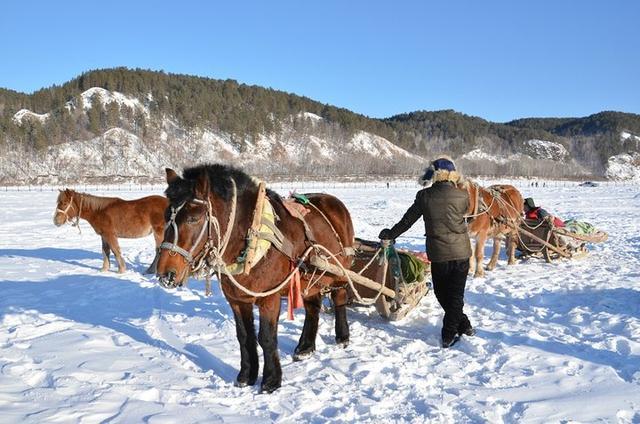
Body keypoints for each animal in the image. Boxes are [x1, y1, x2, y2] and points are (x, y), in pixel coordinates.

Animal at [155, 164, 356, 392]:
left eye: (193, 218)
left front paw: (271, 380)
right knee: (313, 306)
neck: (251, 239)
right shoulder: (237, 299)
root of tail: (334, 201)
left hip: (339, 271)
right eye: (166, 216)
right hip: (310, 278)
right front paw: (246, 376)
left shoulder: (269, 298)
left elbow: (266, 337)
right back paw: (305, 347)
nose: (165, 273)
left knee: (339, 298)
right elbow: (245, 336)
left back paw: (342, 336)